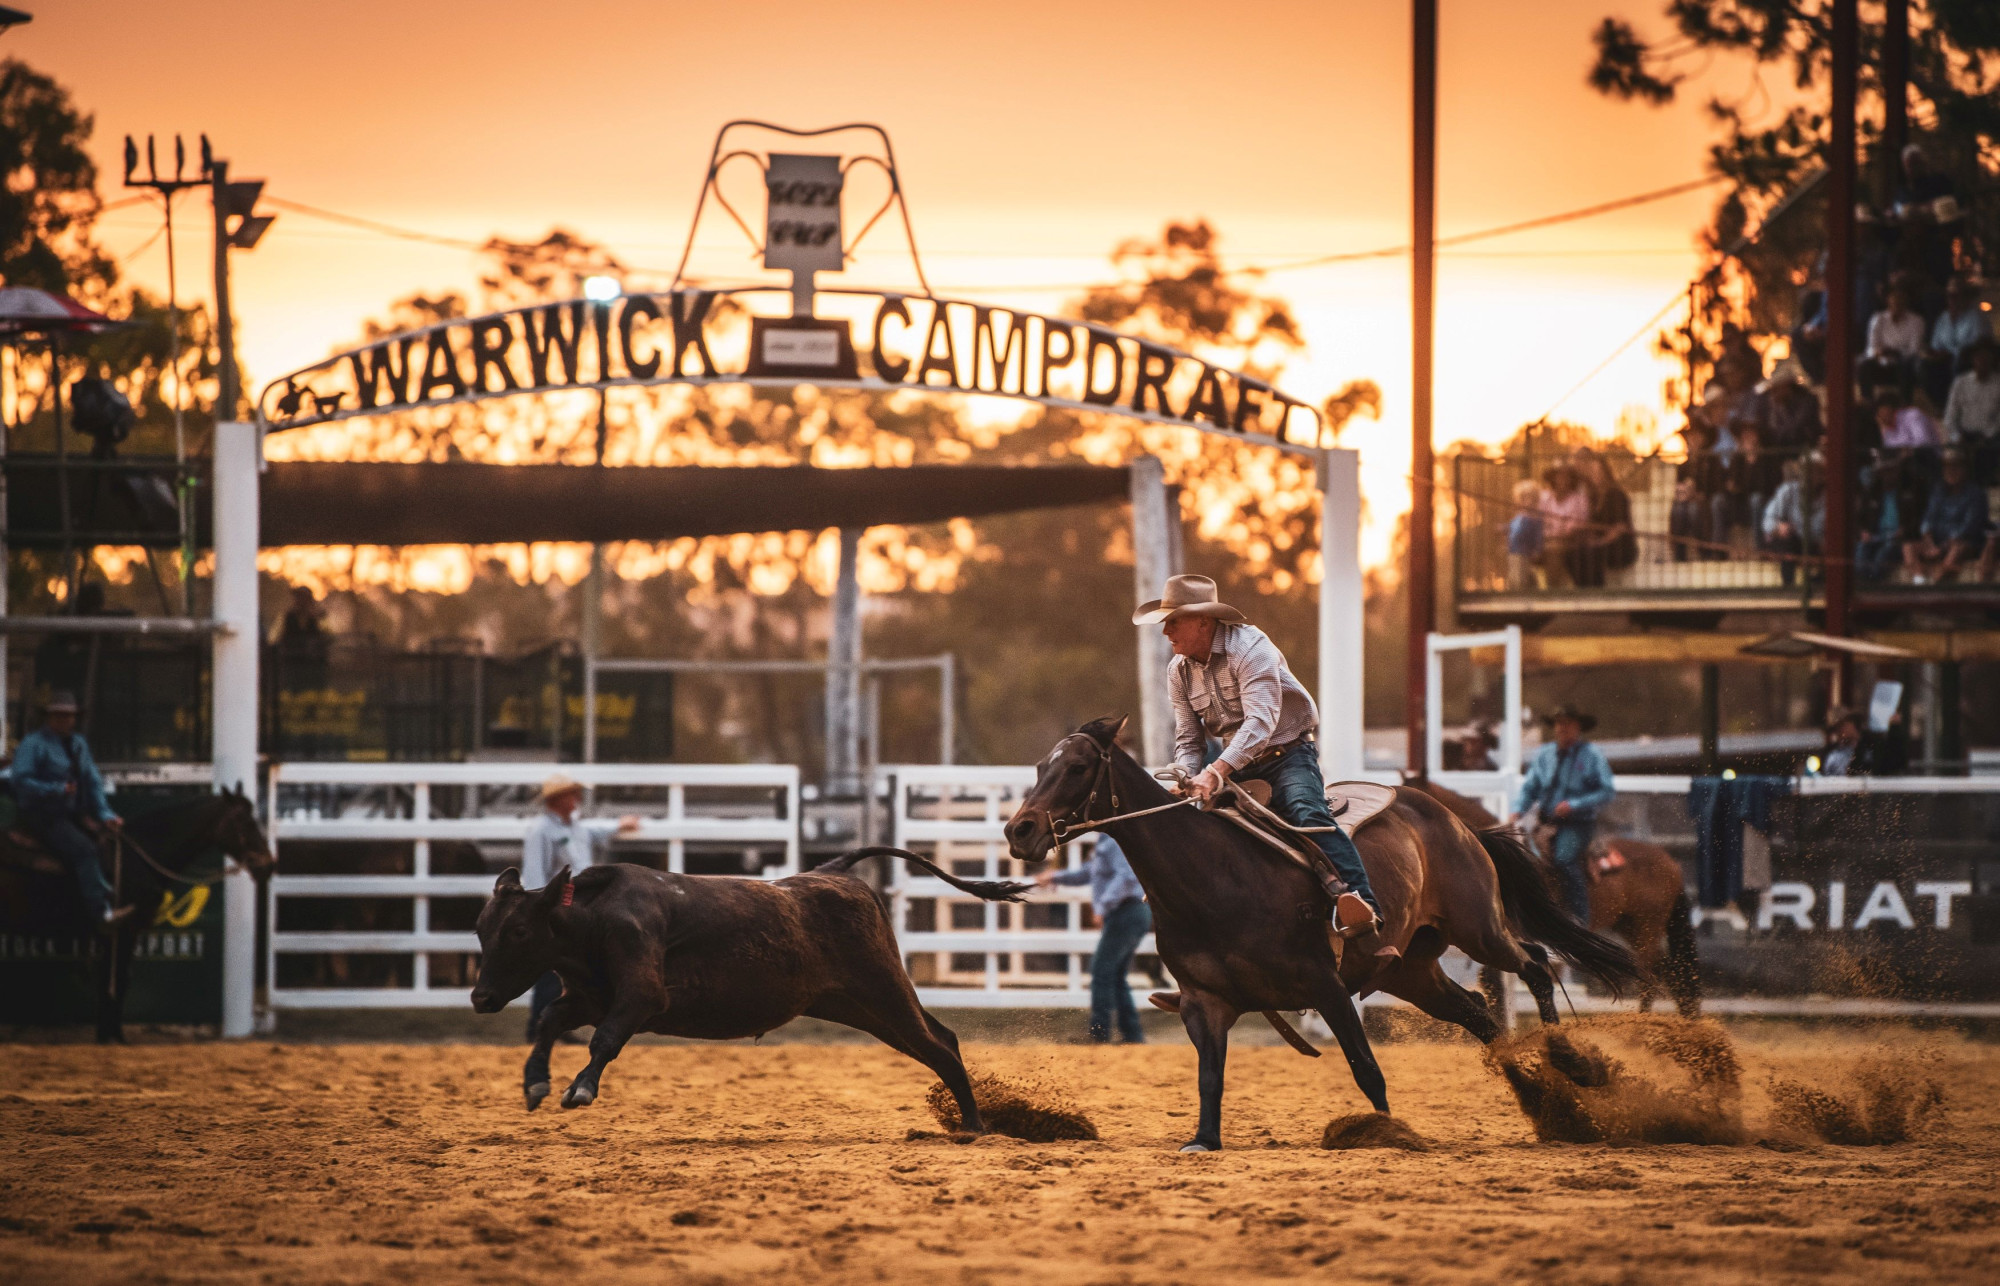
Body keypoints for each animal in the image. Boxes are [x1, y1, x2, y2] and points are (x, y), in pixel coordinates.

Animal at [0, 784, 274, 1048]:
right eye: (244, 821)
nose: (269, 865)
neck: (139, 859)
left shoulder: (127, 933)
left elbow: (118, 980)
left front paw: (114, 1036)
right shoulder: (122, 930)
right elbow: (116, 979)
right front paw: (109, 1037)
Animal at [1000, 720, 1640, 1152]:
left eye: (1077, 768)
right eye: (1038, 768)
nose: (1020, 830)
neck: (1214, 877)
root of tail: (1459, 822)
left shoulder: (1325, 986)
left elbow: (1365, 1067)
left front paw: (1386, 1132)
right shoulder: (1205, 1004)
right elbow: (1210, 1078)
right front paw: (1203, 1139)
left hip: (1478, 927)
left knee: (1534, 963)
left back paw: (1567, 1063)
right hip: (1410, 971)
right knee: (1480, 1015)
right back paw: (1541, 1097)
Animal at [1408, 776, 1704, 1016]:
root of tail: (1670, 862)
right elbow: (1492, 980)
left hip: (1647, 927)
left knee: (1652, 973)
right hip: (1631, 926)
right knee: (1669, 972)